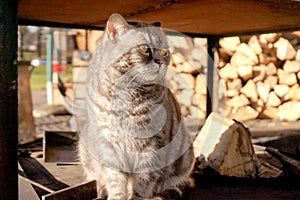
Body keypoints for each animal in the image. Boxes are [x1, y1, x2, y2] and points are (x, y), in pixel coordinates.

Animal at [77, 13, 195, 199]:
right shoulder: (109, 143)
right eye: (144, 48)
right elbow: (115, 181)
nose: (161, 61)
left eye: (165, 51)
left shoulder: (152, 145)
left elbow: (143, 182)